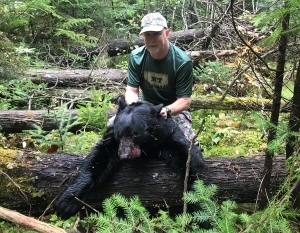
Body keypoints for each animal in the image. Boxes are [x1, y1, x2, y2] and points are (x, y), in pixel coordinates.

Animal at [52, 97, 205, 218]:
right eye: (120, 134)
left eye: (135, 133)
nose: (124, 155)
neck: (147, 148)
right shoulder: (113, 142)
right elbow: (97, 159)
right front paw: (66, 202)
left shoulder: (167, 137)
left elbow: (189, 159)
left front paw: (202, 205)